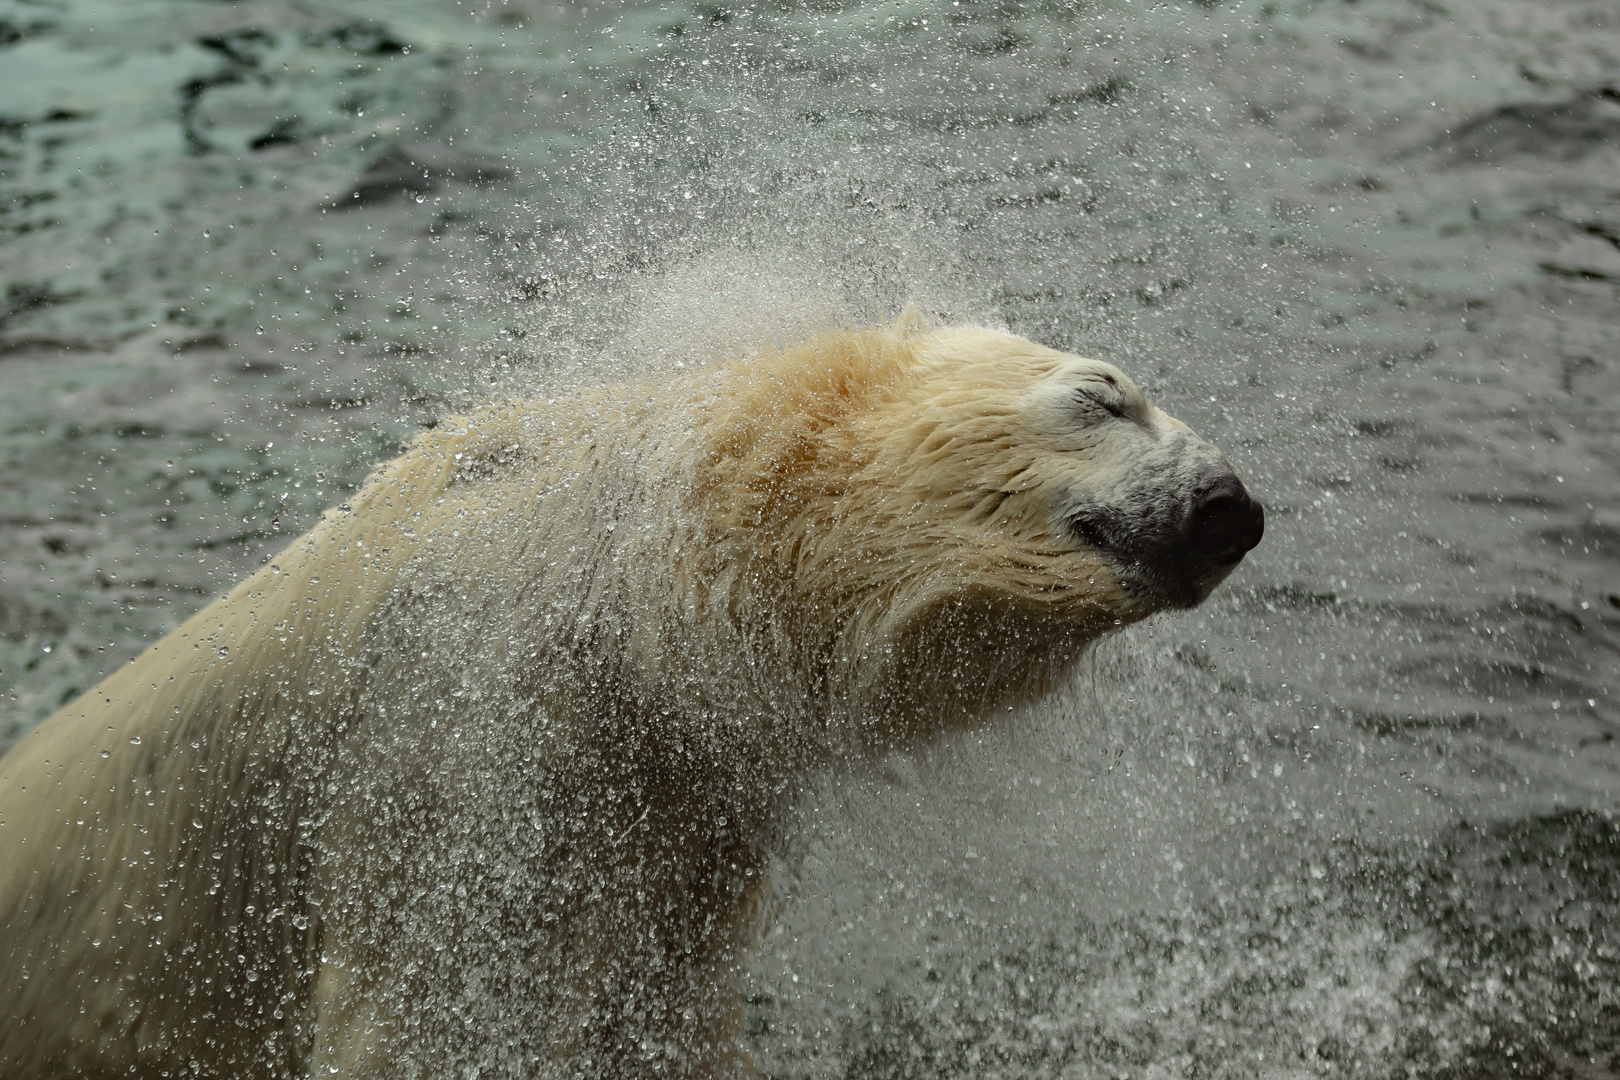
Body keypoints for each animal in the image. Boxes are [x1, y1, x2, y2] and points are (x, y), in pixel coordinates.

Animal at [0, 317, 1263, 1075]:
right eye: (1105, 397)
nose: (1230, 509)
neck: (626, 576)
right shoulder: (463, 728)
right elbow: (435, 1007)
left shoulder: (682, 798)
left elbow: (657, 1004)